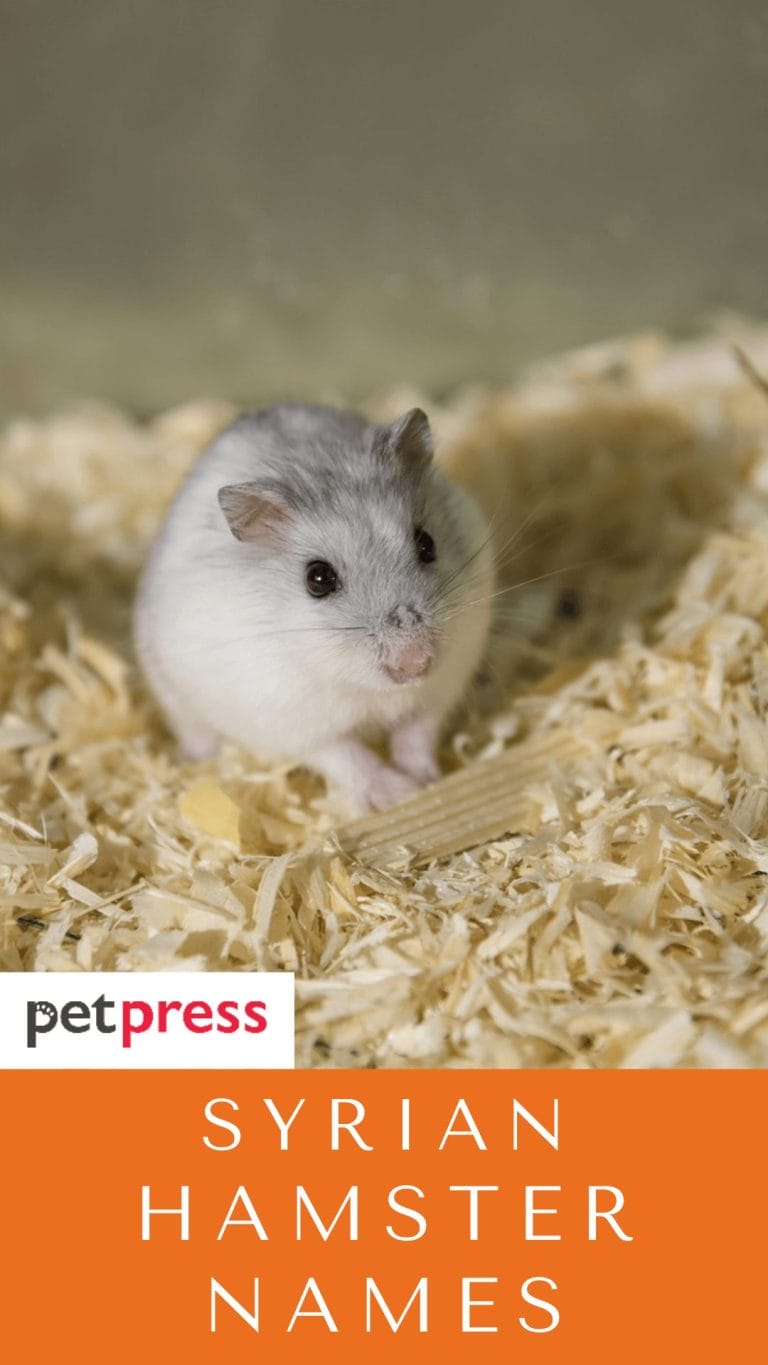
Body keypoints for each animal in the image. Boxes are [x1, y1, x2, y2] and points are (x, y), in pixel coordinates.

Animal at [134, 403, 494, 812]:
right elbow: (346, 755)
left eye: (427, 543)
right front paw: (399, 792)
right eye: (318, 579)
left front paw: (423, 778)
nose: (414, 665)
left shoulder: (443, 684)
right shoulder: (291, 723)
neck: (369, 689)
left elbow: (418, 729)